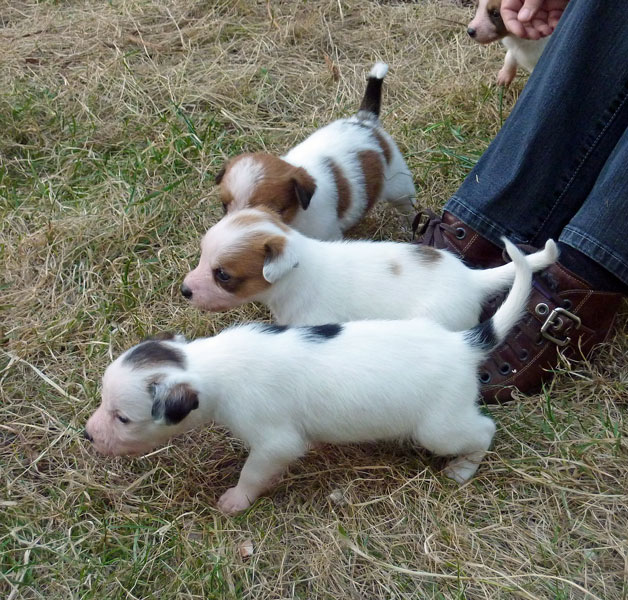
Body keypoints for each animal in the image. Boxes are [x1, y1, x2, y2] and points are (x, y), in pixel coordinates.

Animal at [86, 239, 531, 515]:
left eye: (123, 418)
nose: (88, 436)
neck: (213, 363)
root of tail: (462, 344)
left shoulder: (274, 444)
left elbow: (253, 472)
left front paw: (236, 499)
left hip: (440, 428)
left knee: (483, 431)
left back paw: (463, 468)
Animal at [214, 62, 415, 240]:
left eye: (272, 211)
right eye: (224, 206)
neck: (297, 215)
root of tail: (364, 121)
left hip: (399, 184)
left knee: (407, 206)